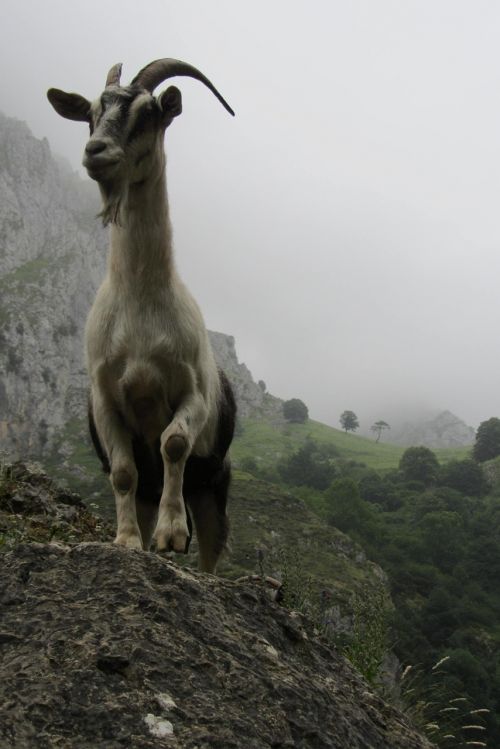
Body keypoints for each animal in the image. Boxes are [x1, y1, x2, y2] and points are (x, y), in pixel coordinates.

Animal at [47, 60, 236, 572]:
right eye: (91, 113)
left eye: (149, 112)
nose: (96, 151)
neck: (141, 305)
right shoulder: (106, 400)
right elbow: (123, 472)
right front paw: (127, 540)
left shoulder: (193, 393)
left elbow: (173, 442)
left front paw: (172, 535)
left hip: (214, 482)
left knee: (212, 548)